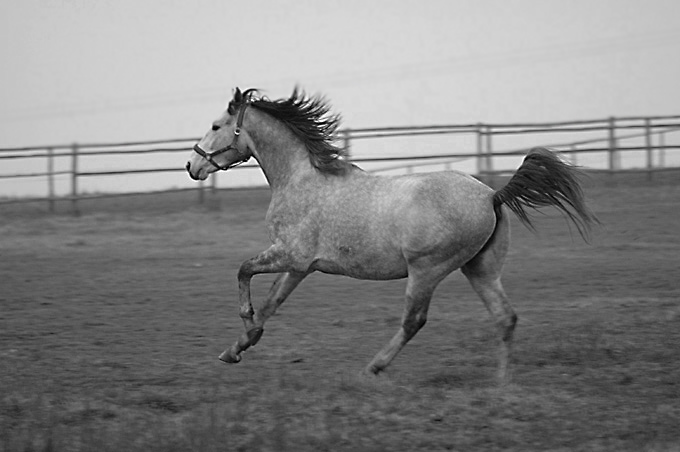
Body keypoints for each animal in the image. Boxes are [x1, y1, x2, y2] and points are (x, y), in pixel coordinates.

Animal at [185, 85, 596, 382]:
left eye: (216, 126)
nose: (191, 165)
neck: (301, 179)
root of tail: (492, 195)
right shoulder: (300, 266)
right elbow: (272, 303)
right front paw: (237, 347)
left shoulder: (289, 254)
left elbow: (243, 271)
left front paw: (244, 327)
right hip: (481, 269)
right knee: (505, 317)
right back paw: (501, 383)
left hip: (426, 270)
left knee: (414, 321)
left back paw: (374, 367)